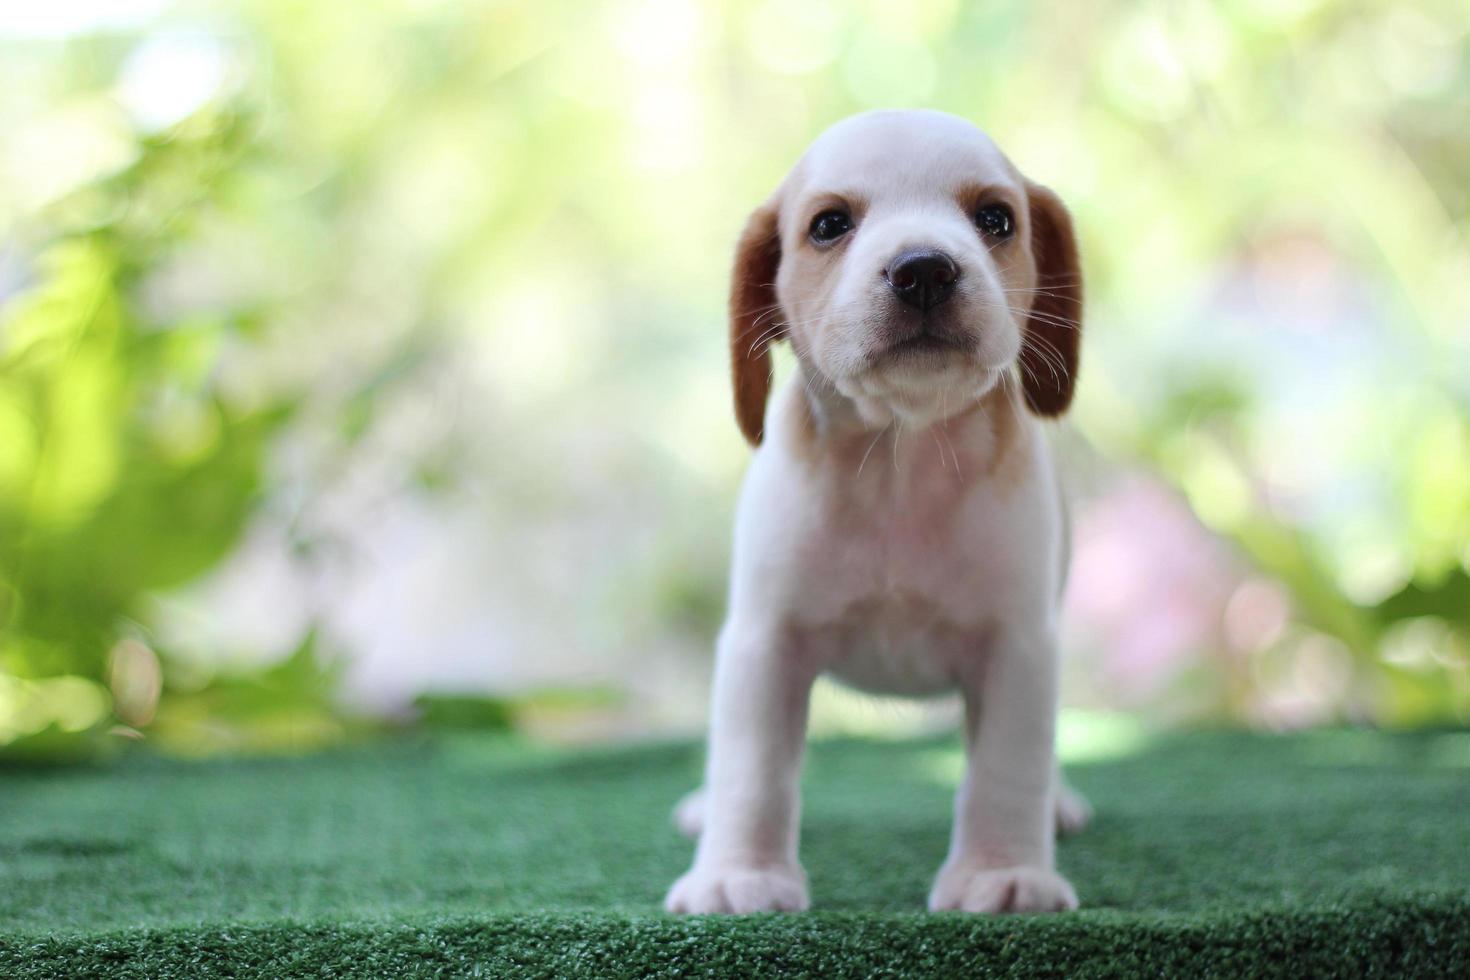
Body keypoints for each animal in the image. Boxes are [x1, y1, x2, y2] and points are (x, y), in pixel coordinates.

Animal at [667, 110, 1093, 916]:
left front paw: (1001, 871)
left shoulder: (1020, 647)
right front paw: (738, 874)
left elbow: (1006, 770)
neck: (902, 466)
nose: (924, 268)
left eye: (995, 219)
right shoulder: (764, 644)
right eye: (830, 225)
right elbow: (752, 771)